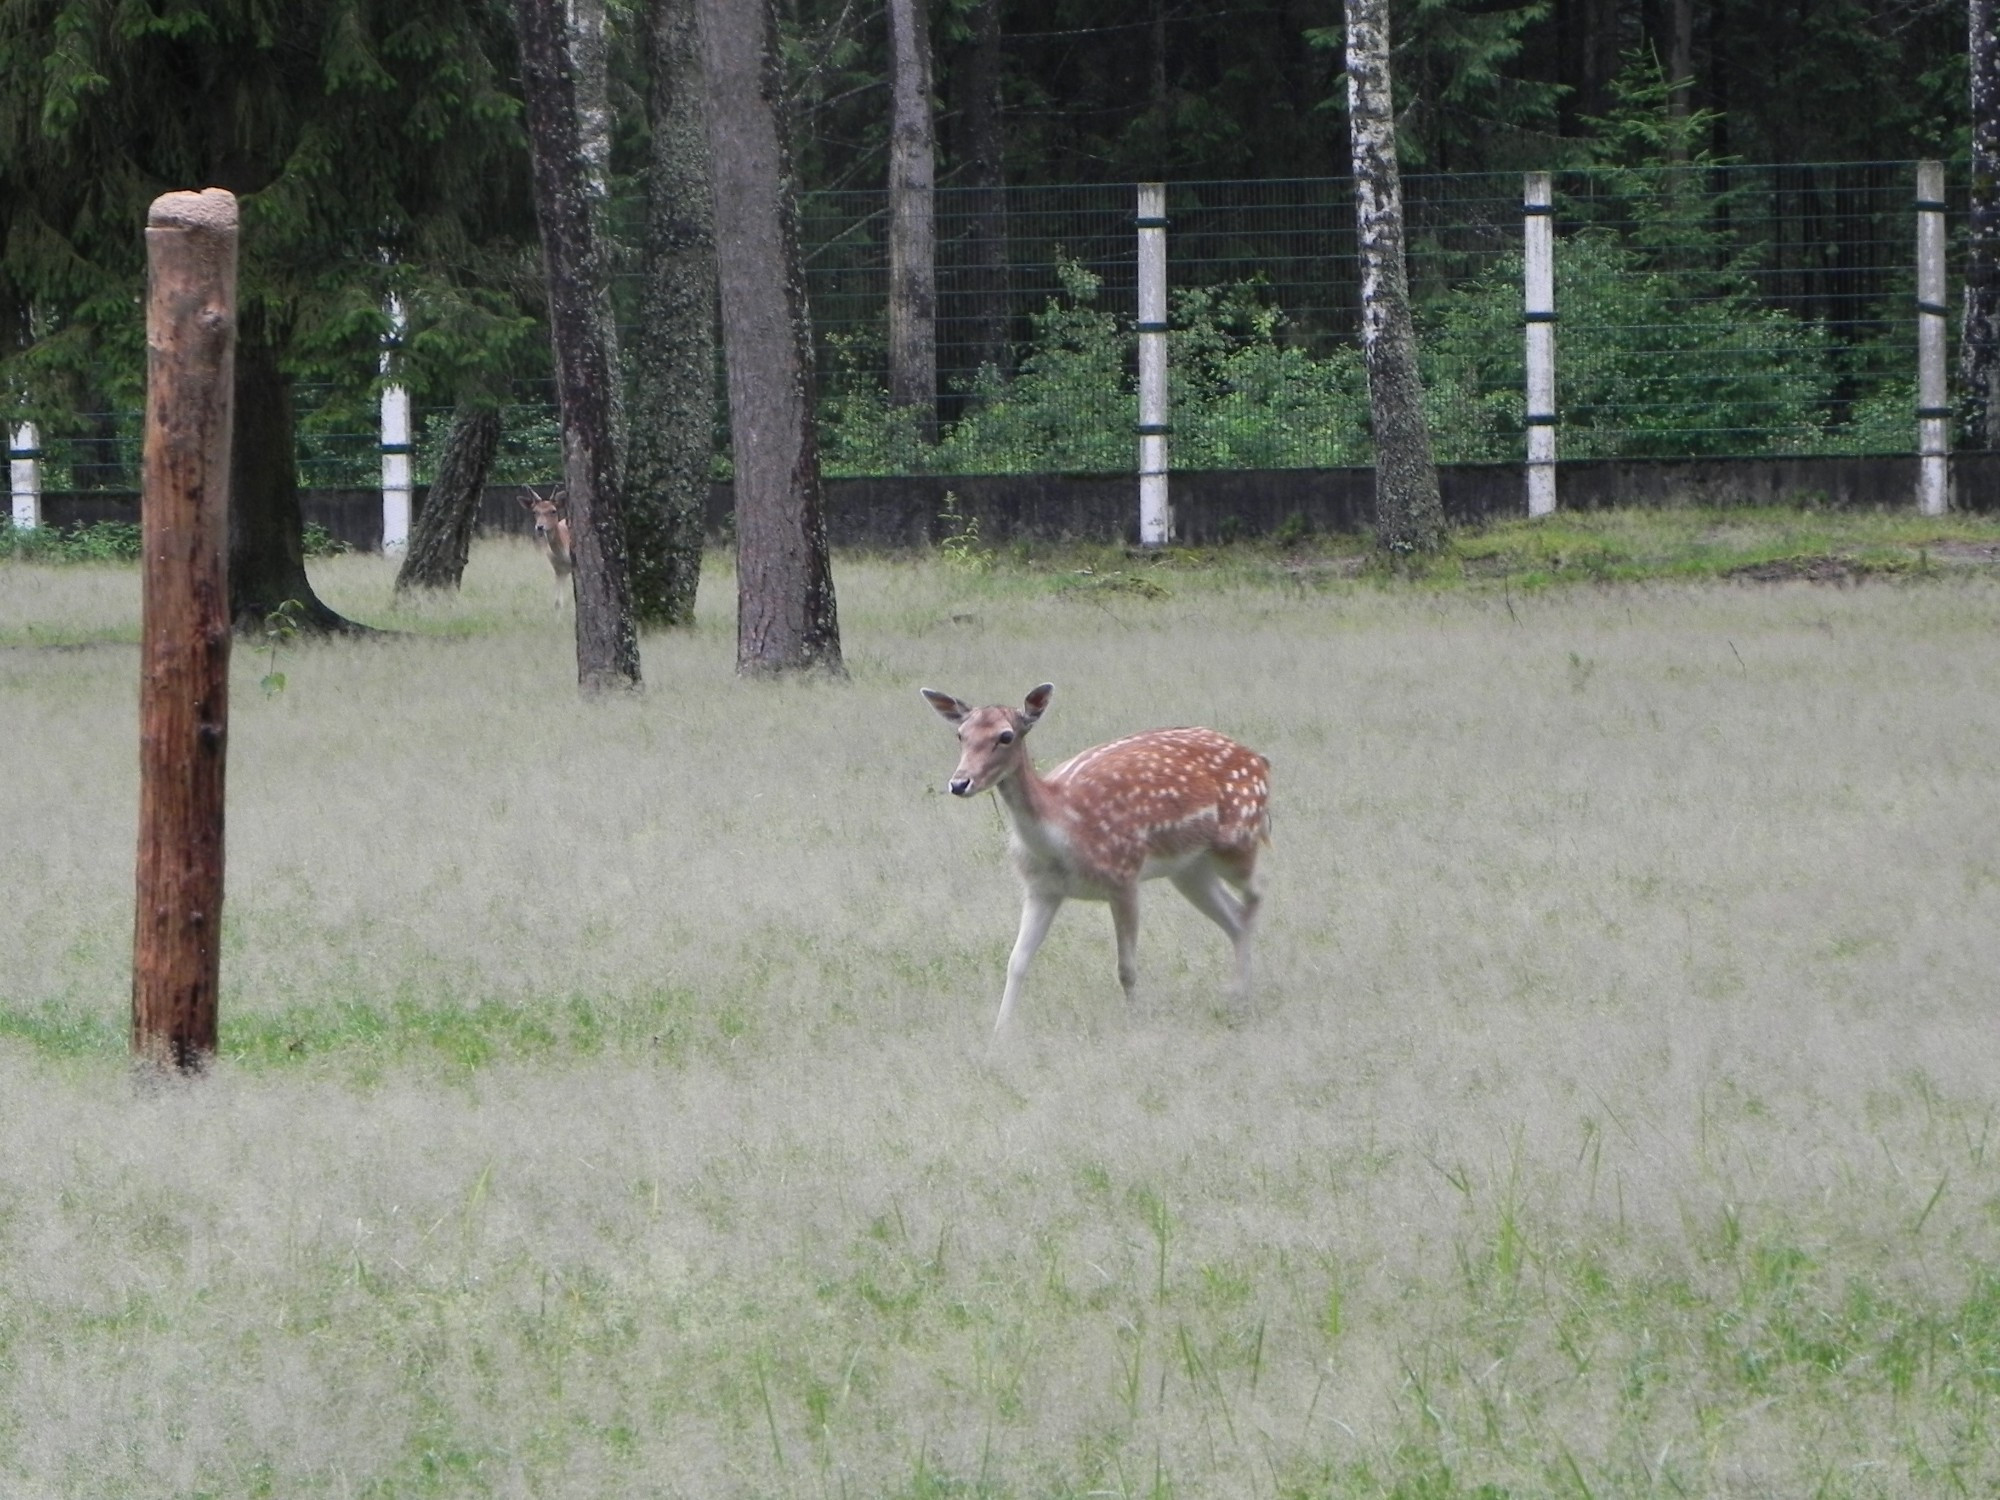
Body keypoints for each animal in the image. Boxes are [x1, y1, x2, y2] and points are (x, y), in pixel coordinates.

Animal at [916, 680, 1264, 1032]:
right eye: (960, 734)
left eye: (1005, 736)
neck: (1062, 834)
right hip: (1189, 869)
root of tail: (1259, 759)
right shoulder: (1041, 888)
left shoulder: (1124, 876)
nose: (960, 783)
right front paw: (999, 1035)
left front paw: (1135, 1023)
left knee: (1255, 897)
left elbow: (1126, 969)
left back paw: (1240, 991)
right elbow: (1016, 962)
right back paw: (1237, 992)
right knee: (1233, 914)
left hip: (1239, 840)